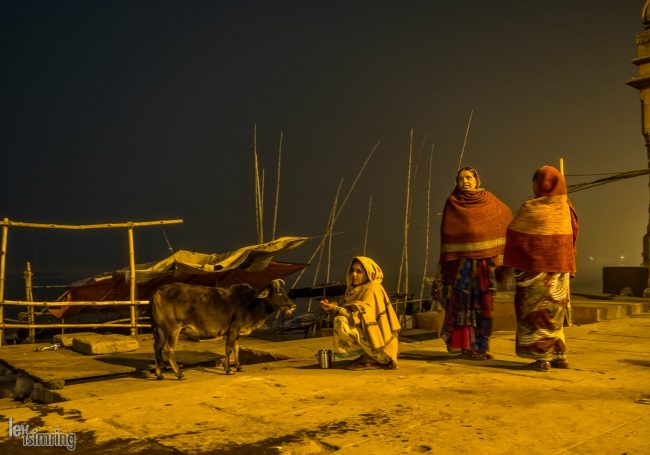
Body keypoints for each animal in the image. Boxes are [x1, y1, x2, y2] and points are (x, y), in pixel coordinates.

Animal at [149, 280, 294, 380]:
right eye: (278, 292)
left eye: (284, 291)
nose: (292, 305)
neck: (253, 303)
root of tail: (156, 293)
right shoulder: (233, 329)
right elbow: (229, 349)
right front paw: (228, 369)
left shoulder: (236, 332)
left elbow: (236, 348)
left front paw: (238, 367)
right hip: (173, 329)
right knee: (168, 349)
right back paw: (179, 374)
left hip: (160, 330)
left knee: (157, 348)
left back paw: (159, 374)